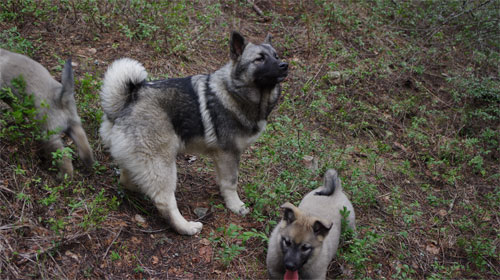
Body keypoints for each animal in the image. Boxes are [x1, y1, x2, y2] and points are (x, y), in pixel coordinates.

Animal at [0, 47, 94, 175]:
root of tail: (60, 98)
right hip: (74, 124)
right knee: (84, 145)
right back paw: (89, 163)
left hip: (49, 135)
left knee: (64, 158)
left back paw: (64, 176)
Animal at [100, 31, 290, 235]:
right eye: (259, 59)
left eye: (276, 56)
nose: (284, 65)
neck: (234, 91)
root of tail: (127, 102)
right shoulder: (229, 154)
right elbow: (231, 182)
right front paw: (235, 205)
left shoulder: (220, 157)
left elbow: (223, 180)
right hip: (162, 164)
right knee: (165, 201)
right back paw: (186, 227)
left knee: (127, 179)